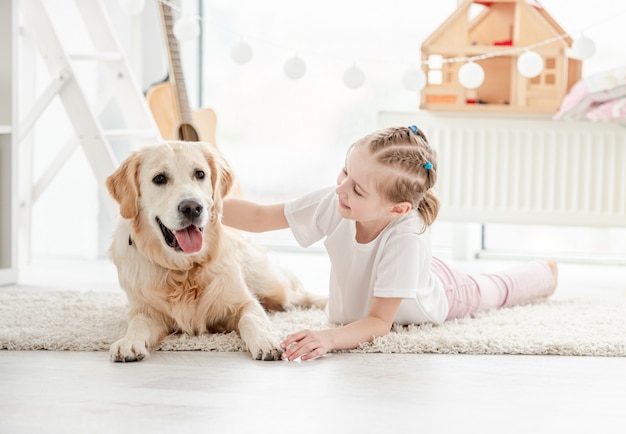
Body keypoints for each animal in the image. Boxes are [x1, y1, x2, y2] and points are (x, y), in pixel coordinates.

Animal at [105, 141, 324, 362]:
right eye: (159, 178)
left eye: (200, 174)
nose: (192, 207)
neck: (184, 270)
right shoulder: (146, 311)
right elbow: (137, 324)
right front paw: (128, 343)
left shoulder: (244, 302)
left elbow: (251, 319)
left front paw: (264, 341)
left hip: (270, 285)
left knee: (297, 294)